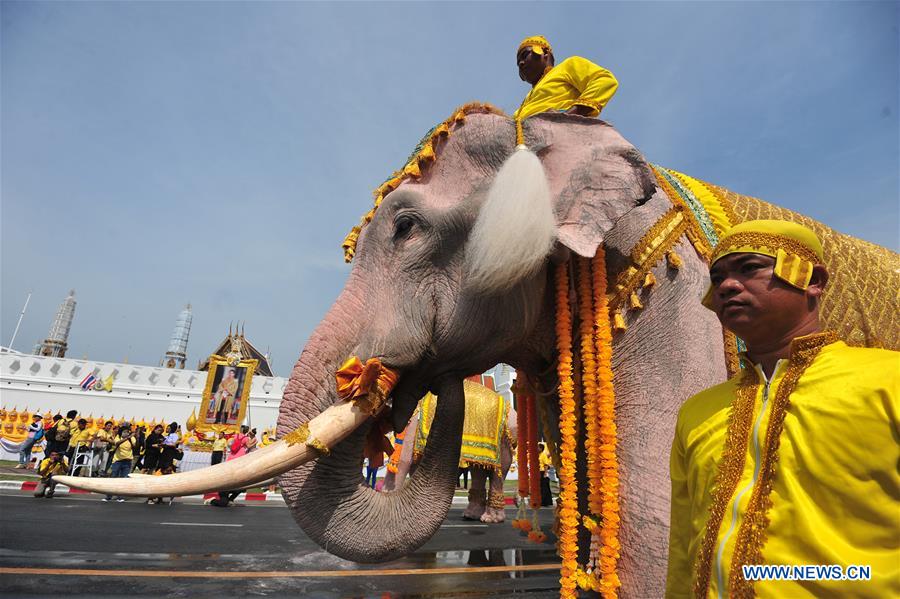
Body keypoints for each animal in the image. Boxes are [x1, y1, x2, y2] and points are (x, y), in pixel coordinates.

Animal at [382, 378, 517, 524]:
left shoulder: (412, 419)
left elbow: (404, 460)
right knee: (478, 468)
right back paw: (471, 515)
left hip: (502, 439)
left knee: (498, 470)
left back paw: (490, 519)